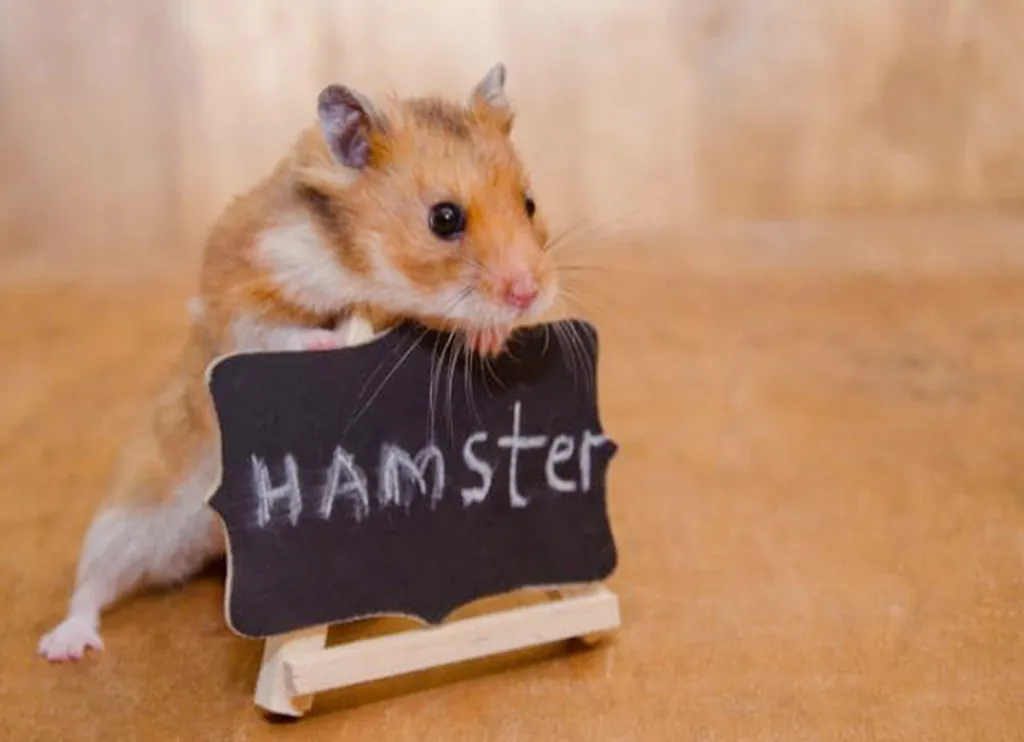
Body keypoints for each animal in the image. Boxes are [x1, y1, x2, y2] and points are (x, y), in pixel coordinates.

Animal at [38, 62, 559, 662]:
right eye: (445, 218)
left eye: (529, 204)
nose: (531, 294)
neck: (359, 266)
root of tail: (213, 540)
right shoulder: (243, 284)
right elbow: (267, 328)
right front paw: (327, 344)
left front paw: (490, 339)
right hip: (127, 518)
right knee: (92, 584)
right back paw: (66, 646)